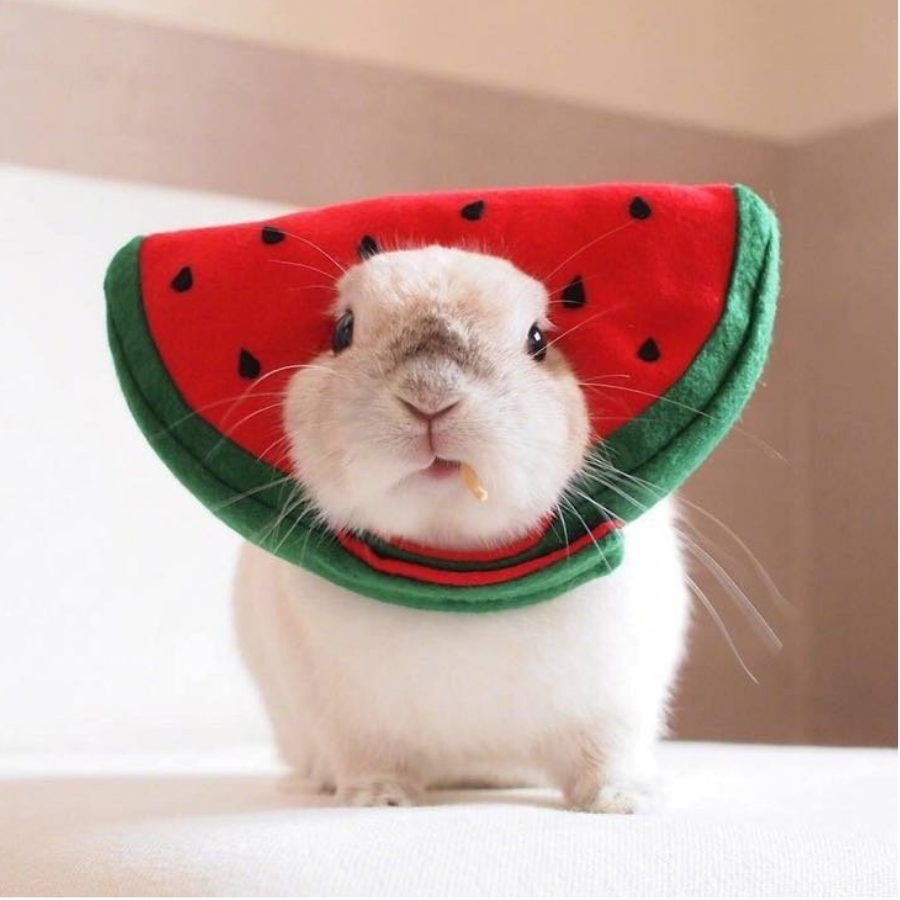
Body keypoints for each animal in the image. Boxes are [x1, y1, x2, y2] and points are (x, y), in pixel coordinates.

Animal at [233, 245, 690, 813]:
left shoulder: (614, 703)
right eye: (342, 331)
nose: (430, 397)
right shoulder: (352, 721)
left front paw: (622, 803)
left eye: (537, 340)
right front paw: (379, 799)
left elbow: (606, 756)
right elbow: (371, 760)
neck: (458, 572)